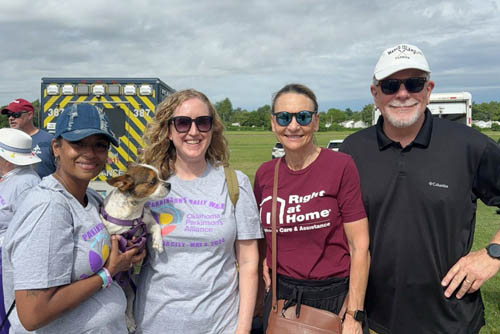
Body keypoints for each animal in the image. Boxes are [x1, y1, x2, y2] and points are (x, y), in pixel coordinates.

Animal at [99, 162, 170, 332]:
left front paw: (158, 243)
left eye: (161, 176)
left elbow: (156, 226)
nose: (169, 184)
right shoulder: (114, 234)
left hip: (130, 289)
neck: (133, 210)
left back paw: (130, 321)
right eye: (153, 181)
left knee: (129, 302)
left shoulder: (146, 221)